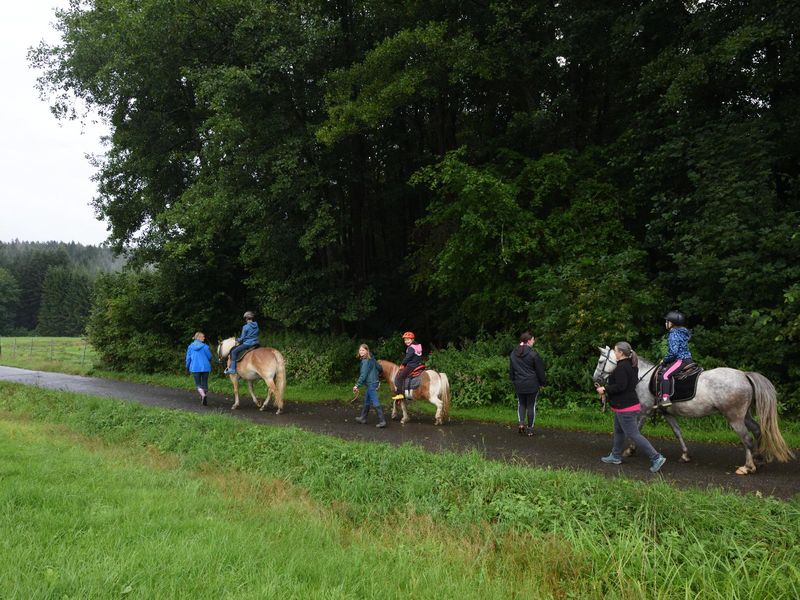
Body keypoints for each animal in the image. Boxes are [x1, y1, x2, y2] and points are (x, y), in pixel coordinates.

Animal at [592, 344, 792, 476]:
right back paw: (760, 459)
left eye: (601, 360)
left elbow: (637, 431)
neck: (642, 375)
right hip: (745, 416)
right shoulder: (667, 414)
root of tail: (744, 375)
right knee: (757, 430)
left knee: (747, 438)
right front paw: (685, 454)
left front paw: (630, 450)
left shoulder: (644, 411)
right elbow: (677, 432)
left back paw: (748, 467)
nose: (595, 379)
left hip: (734, 418)